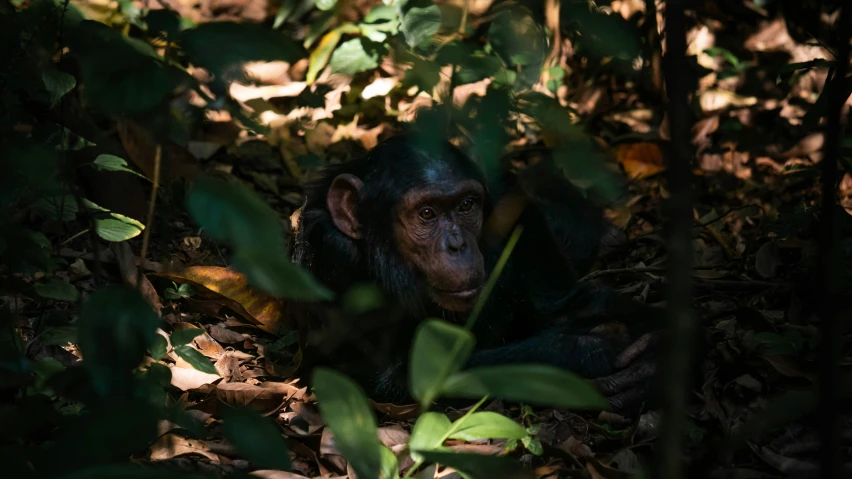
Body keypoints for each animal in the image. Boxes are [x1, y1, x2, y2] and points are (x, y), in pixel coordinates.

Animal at [292, 133, 660, 410]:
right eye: (427, 214)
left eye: (466, 206)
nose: (457, 245)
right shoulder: (334, 254)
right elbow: (393, 375)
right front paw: (594, 350)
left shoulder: (519, 211)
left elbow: (564, 307)